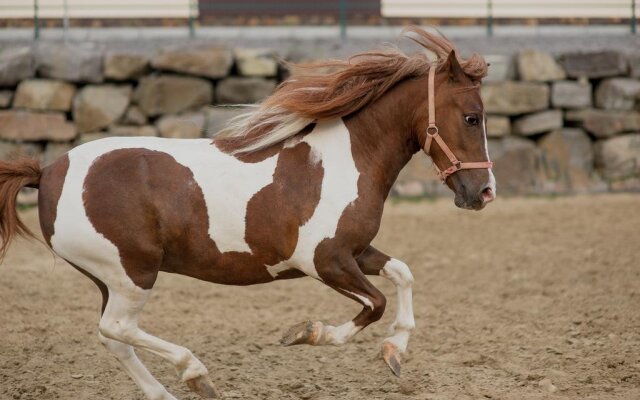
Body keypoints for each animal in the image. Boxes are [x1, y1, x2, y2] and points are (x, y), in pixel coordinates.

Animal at [0, 26, 496, 398]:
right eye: (472, 117)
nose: (484, 192)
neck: (345, 160)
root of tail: (48, 171)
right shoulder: (324, 260)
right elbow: (375, 304)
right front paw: (306, 333)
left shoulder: (355, 251)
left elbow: (403, 275)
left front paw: (394, 352)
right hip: (131, 273)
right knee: (118, 327)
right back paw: (196, 373)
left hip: (110, 277)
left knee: (112, 336)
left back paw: (171, 391)